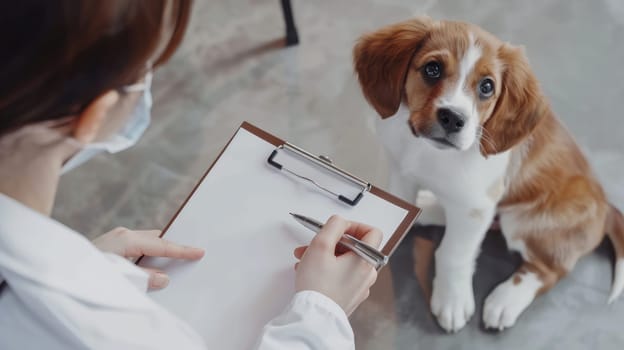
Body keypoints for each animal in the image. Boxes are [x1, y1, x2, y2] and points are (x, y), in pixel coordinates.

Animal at [354, 17, 620, 334]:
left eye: (487, 86)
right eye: (432, 69)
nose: (453, 119)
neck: (427, 152)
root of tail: (606, 207)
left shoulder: (475, 206)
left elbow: (454, 254)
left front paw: (452, 300)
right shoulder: (401, 171)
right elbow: (399, 202)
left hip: (526, 222)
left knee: (549, 270)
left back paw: (505, 301)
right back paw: (429, 209)